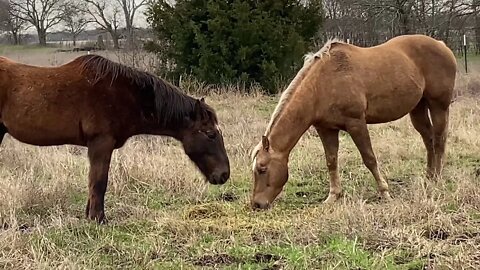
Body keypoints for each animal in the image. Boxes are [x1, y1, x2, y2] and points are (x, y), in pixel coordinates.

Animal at [0, 53, 231, 223]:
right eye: (211, 134)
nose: (224, 175)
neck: (123, 93)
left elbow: (93, 182)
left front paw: (90, 216)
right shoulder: (101, 143)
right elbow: (99, 182)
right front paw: (98, 219)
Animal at [251, 34, 458, 210]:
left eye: (262, 169)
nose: (257, 204)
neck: (321, 84)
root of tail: (442, 45)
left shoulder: (356, 123)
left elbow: (369, 158)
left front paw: (385, 193)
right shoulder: (325, 129)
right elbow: (331, 161)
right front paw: (333, 196)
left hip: (439, 106)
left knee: (439, 140)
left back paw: (438, 179)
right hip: (418, 108)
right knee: (429, 140)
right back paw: (429, 177)